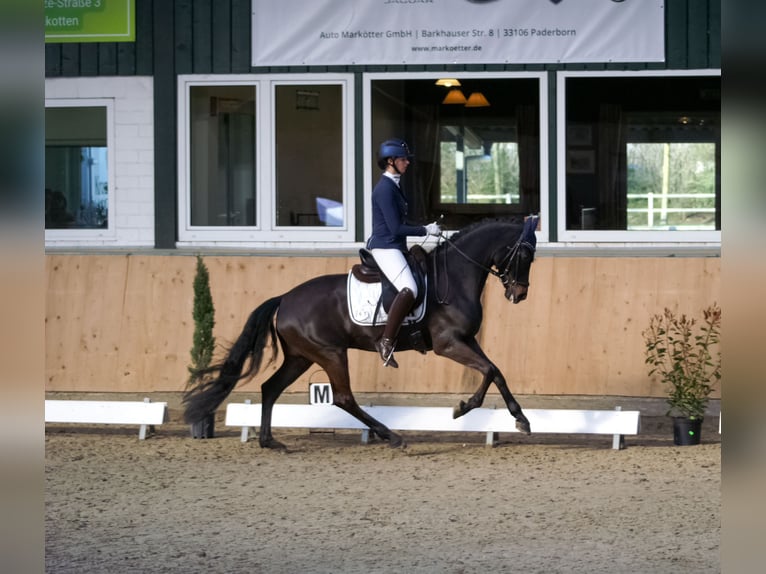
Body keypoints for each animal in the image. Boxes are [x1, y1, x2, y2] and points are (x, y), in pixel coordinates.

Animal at [184, 217, 540, 450]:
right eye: (525, 254)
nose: (520, 293)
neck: (454, 275)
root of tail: (284, 298)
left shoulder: (466, 341)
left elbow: (495, 371)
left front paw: (514, 417)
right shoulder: (448, 344)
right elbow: (490, 370)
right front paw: (470, 409)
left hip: (301, 357)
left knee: (270, 388)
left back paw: (269, 441)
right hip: (330, 353)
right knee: (343, 398)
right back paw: (392, 436)